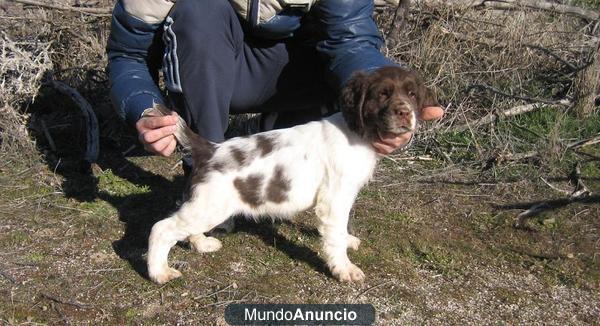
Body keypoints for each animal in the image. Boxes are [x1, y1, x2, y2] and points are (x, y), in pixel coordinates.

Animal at [145, 65, 436, 282]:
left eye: (412, 94)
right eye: (382, 94)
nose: (404, 113)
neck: (357, 131)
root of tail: (210, 149)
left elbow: (340, 230)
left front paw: (348, 241)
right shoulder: (335, 197)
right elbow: (334, 234)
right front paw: (344, 269)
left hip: (204, 206)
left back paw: (202, 244)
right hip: (210, 205)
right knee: (161, 228)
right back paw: (159, 272)